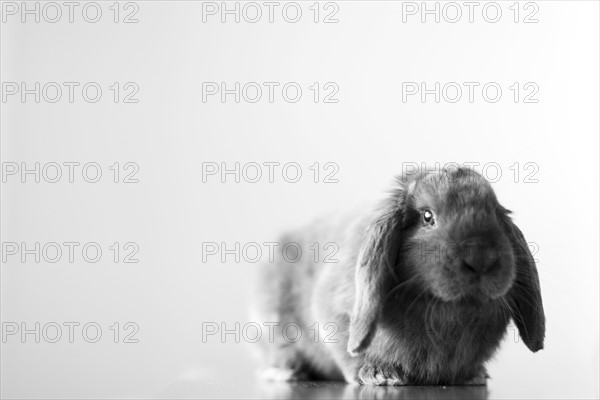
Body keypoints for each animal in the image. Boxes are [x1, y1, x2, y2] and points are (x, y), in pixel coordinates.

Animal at [253, 167, 544, 386]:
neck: (446, 307)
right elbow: (347, 352)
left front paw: (473, 376)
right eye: (427, 216)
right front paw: (378, 374)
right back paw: (286, 372)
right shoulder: (331, 312)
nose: (481, 258)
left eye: (493, 212)